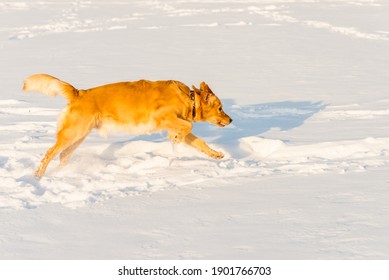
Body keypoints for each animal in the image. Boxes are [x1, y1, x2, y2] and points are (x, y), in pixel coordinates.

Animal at [22, 74, 232, 178]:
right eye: (221, 108)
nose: (231, 120)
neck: (189, 99)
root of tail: (79, 92)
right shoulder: (162, 117)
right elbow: (188, 126)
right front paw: (176, 139)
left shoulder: (175, 123)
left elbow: (199, 141)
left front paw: (215, 154)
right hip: (73, 133)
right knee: (49, 154)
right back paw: (38, 176)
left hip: (79, 136)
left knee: (63, 155)